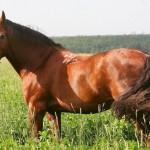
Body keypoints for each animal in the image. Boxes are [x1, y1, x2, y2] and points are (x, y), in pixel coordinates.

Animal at [0, 12, 150, 144]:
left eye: (2, 36)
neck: (41, 62)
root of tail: (145, 56)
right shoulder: (53, 111)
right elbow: (56, 137)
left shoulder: (35, 109)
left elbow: (35, 138)